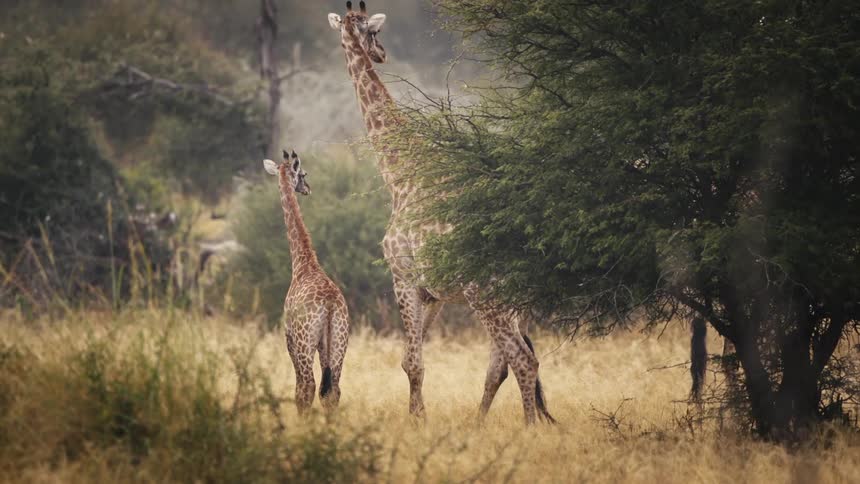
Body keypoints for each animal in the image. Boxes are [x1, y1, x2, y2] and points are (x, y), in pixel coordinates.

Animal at [263, 150, 350, 414]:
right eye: (303, 174)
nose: (308, 188)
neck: (304, 264)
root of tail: (330, 305)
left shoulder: (289, 337)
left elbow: (300, 388)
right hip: (339, 341)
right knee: (333, 390)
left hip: (304, 342)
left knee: (308, 387)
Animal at [328, 1, 554, 424]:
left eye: (375, 32)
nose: (381, 54)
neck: (399, 175)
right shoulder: (430, 293)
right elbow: (409, 361)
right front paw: (418, 414)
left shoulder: (401, 276)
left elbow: (414, 363)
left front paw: (418, 421)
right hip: (514, 303)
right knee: (503, 364)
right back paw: (479, 424)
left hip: (487, 298)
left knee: (521, 359)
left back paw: (528, 427)